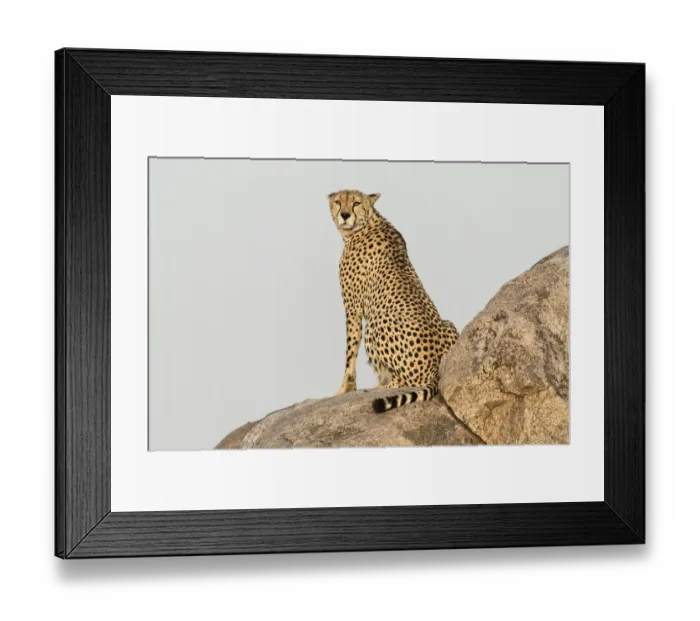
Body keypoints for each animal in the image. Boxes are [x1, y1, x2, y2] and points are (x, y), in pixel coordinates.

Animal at [328, 189, 460, 413]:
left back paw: (378, 388)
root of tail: (435, 370)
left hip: (375, 324)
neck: (366, 224)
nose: (345, 215)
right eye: (338, 202)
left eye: (355, 203)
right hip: (449, 323)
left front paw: (344, 388)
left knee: (406, 380)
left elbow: (350, 353)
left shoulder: (352, 309)